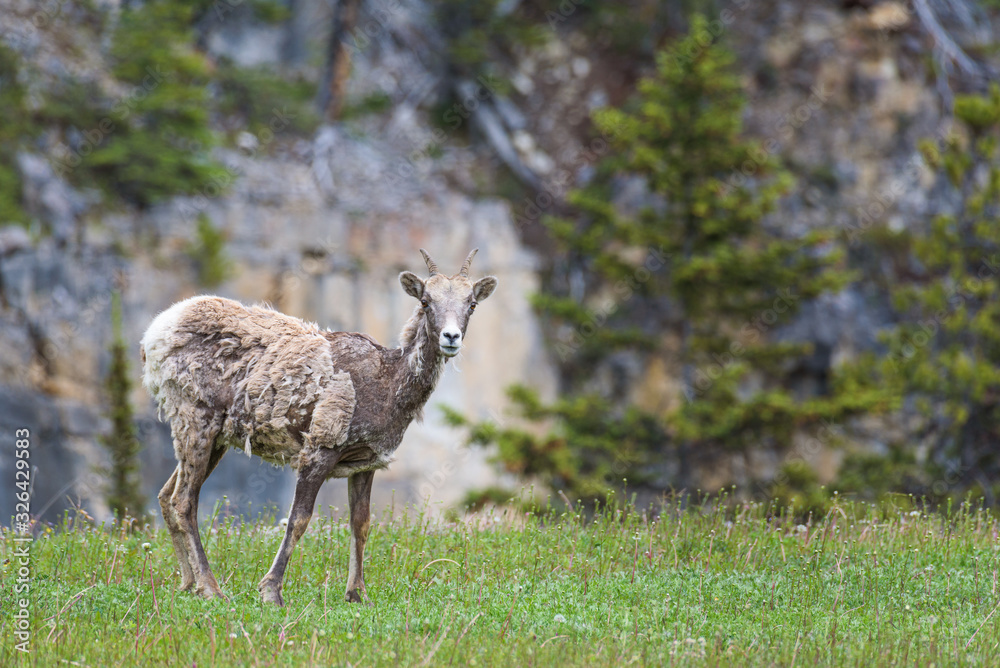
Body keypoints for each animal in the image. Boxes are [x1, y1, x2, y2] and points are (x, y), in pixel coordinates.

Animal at [140, 248, 497, 605]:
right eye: (425, 301)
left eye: (471, 304)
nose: (451, 337)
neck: (388, 387)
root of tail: (154, 335)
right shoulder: (319, 449)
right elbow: (298, 520)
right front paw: (271, 592)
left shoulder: (365, 462)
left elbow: (361, 524)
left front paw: (357, 593)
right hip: (195, 419)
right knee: (184, 501)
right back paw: (211, 587)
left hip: (216, 438)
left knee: (165, 495)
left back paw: (188, 583)